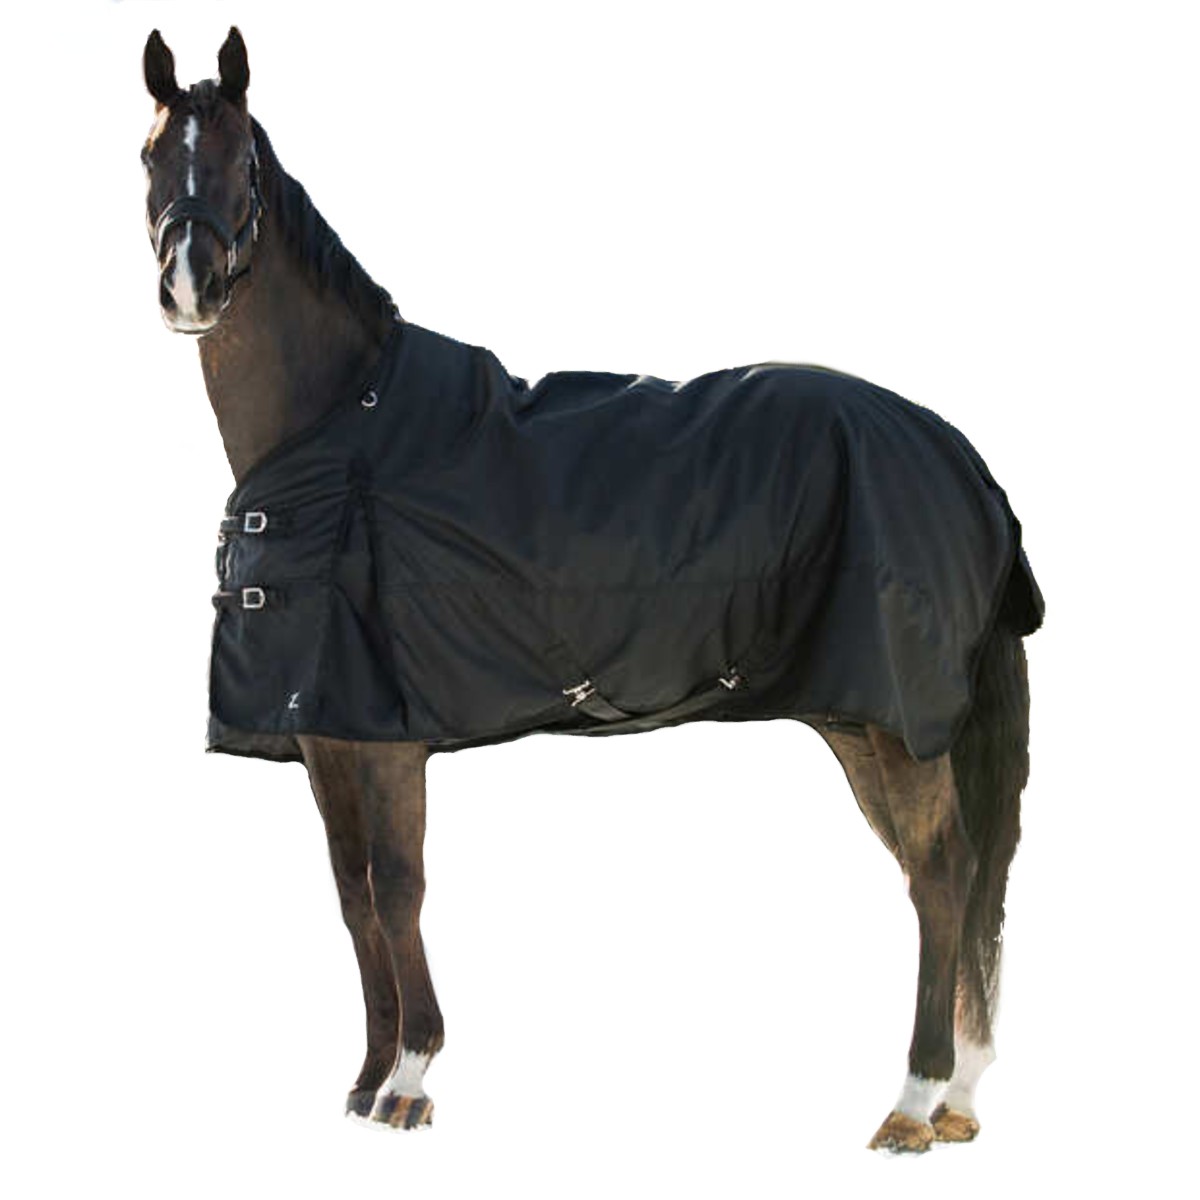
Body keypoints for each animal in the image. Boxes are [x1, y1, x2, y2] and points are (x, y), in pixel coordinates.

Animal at [140, 27, 1041, 1153]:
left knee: (940, 872)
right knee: (946, 876)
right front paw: (365, 1079)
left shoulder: (387, 738)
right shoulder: (325, 734)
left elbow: (400, 888)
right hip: (865, 723)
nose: (190, 282)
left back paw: (915, 1100)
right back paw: (955, 1096)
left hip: (891, 721)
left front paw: (411, 1080)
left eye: (242, 160)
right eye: (149, 156)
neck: (342, 434)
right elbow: (353, 894)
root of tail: (955, 454)